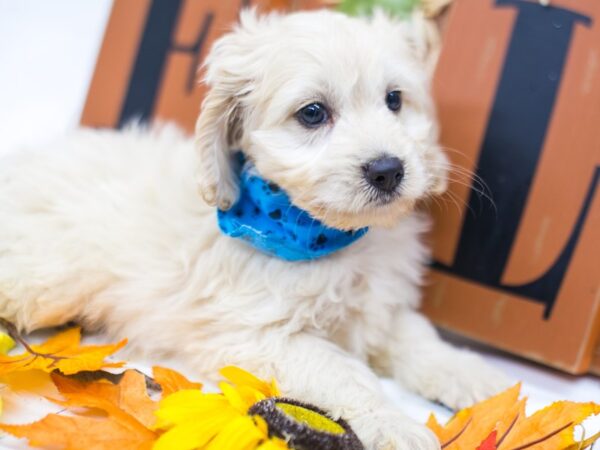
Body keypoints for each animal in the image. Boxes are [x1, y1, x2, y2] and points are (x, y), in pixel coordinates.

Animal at [0, 8, 506, 448]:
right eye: (313, 113)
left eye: (395, 100)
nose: (388, 170)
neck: (324, 236)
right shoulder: (259, 334)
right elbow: (344, 374)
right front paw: (393, 424)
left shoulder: (378, 307)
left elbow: (420, 338)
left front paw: (476, 377)